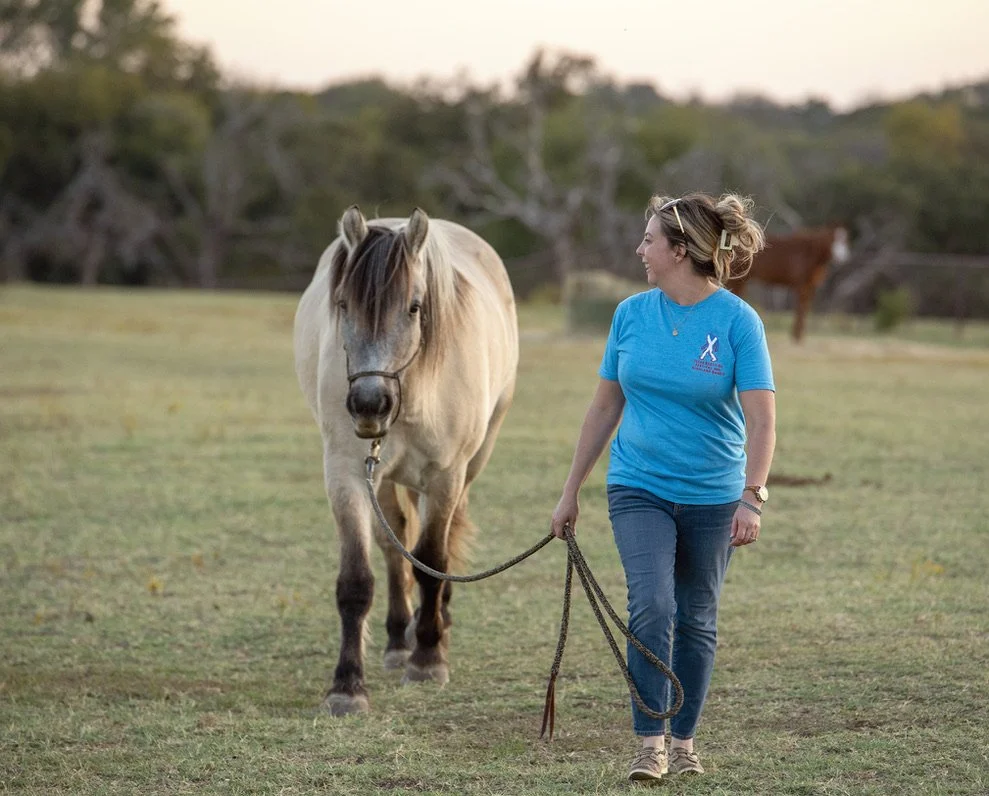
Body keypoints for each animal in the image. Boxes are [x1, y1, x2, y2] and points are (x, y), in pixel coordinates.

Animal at [293, 205, 519, 716]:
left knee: (441, 543)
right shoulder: (347, 475)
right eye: (343, 305)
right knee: (392, 542)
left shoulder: (445, 477)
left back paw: (433, 628)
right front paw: (347, 685)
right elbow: (357, 580)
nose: (369, 404)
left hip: (472, 463)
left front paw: (429, 658)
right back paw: (400, 638)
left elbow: (431, 559)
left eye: (414, 307)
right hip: (384, 479)